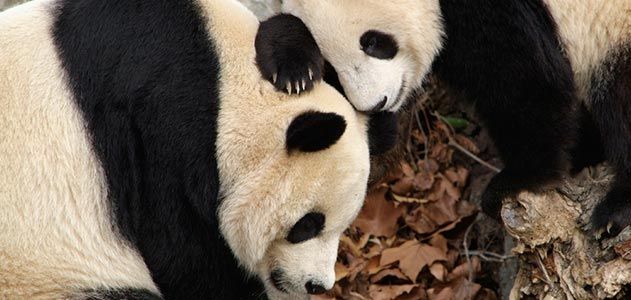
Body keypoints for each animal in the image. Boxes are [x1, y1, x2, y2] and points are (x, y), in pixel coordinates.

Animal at [0, 0, 372, 298]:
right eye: (307, 225)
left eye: (343, 227)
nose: (317, 284)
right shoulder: (161, 135)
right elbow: (183, 256)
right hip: (46, 274)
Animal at [256, 0, 631, 232]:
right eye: (332, 66)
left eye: (373, 42)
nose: (376, 103)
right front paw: (292, 66)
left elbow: (526, 80)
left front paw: (515, 182)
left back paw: (615, 210)